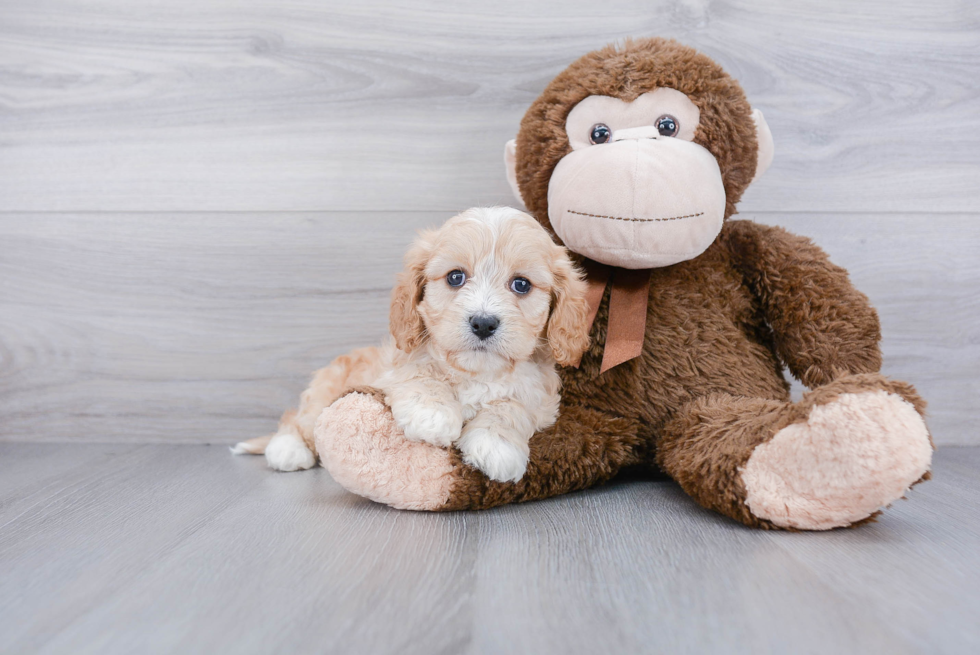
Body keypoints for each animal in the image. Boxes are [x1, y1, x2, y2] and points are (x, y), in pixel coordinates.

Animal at [234, 208, 592, 484]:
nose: (483, 323)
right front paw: (432, 415)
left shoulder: (540, 398)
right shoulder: (395, 367)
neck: (475, 373)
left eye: (521, 285)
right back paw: (287, 449)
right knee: (297, 419)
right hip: (322, 393)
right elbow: (421, 373)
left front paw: (496, 445)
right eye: (455, 277)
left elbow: (511, 407)